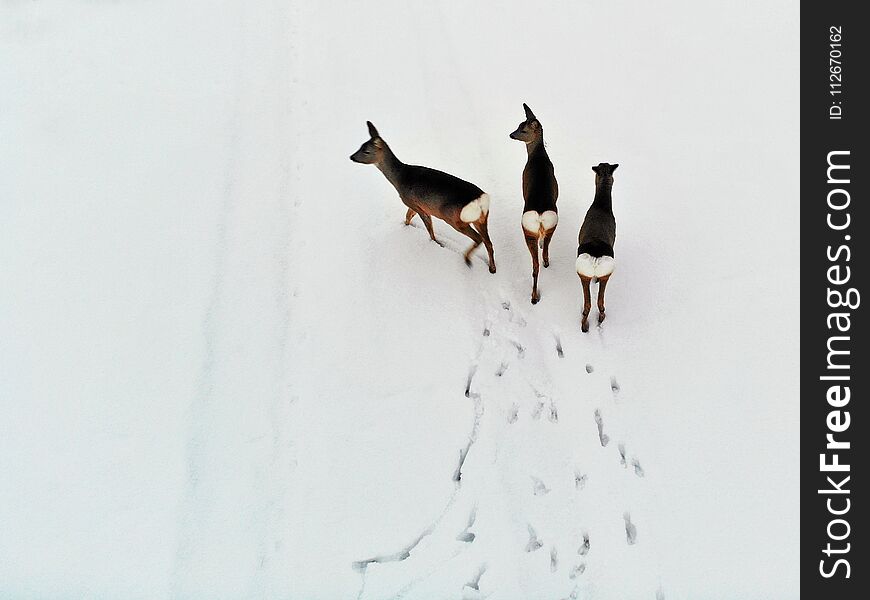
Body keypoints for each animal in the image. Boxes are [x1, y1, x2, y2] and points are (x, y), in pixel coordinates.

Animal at [350, 122, 498, 272]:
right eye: (361, 146)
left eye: (366, 151)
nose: (352, 157)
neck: (399, 179)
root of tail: (480, 201)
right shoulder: (416, 205)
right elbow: (408, 217)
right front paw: (405, 227)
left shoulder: (414, 204)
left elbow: (428, 229)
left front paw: (436, 243)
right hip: (481, 219)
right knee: (489, 243)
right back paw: (492, 268)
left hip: (455, 219)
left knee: (479, 239)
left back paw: (467, 259)